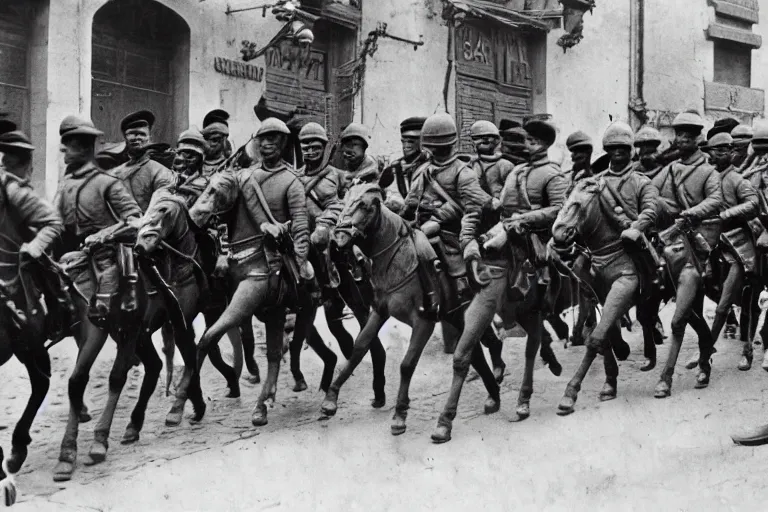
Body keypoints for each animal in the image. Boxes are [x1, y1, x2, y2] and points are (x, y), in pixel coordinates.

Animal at [51, 191, 208, 480]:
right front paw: (67, 454)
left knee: (181, 355)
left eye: (165, 210)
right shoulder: (101, 332)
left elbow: (116, 377)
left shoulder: (139, 328)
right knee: (158, 364)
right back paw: (136, 424)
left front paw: (99, 442)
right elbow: (77, 381)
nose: (142, 246)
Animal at [188, 170, 336, 426]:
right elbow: (250, 344)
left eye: (218, 190)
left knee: (297, 342)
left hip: (307, 307)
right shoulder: (257, 309)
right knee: (304, 345)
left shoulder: (250, 304)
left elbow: (211, 337)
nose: (193, 217)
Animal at [318, 185, 498, 436]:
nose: (339, 238)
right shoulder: (379, 312)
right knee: (475, 353)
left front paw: (400, 415)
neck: (397, 259)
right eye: (345, 201)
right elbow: (359, 348)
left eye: (365, 205)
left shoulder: (424, 322)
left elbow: (406, 364)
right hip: (456, 315)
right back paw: (493, 395)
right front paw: (330, 399)